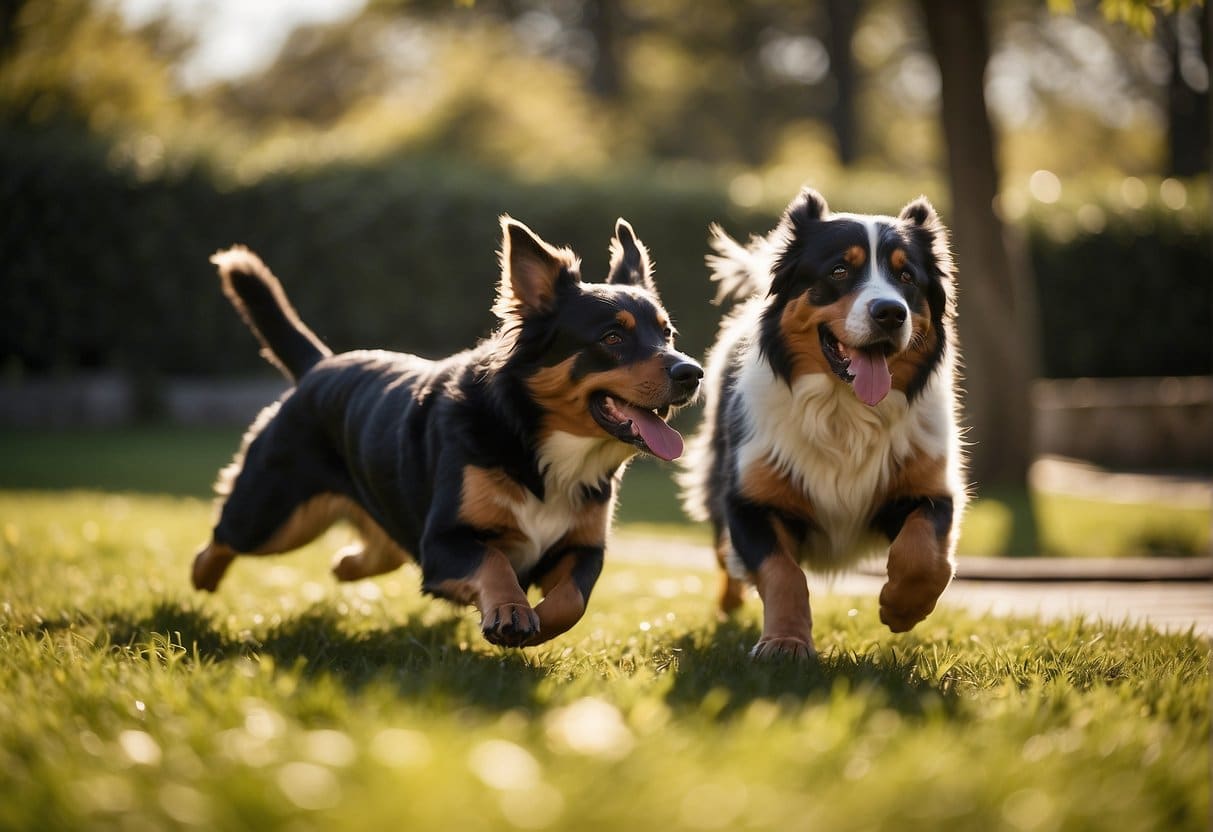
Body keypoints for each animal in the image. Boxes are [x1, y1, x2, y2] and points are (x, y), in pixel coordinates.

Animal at [190, 218, 703, 650]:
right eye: (612, 338)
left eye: (667, 334)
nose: (692, 372)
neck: (540, 447)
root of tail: (319, 366)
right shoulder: (444, 541)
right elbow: (494, 562)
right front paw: (512, 611)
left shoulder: (584, 547)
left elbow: (573, 600)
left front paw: (535, 625)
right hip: (272, 514)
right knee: (224, 534)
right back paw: (201, 579)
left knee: (382, 550)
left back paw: (346, 565)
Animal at [684, 189, 965, 664]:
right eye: (839, 270)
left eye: (906, 276)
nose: (891, 313)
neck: (845, 410)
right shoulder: (748, 498)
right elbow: (782, 571)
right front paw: (785, 643)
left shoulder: (931, 486)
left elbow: (925, 553)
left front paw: (901, 607)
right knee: (725, 552)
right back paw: (728, 603)